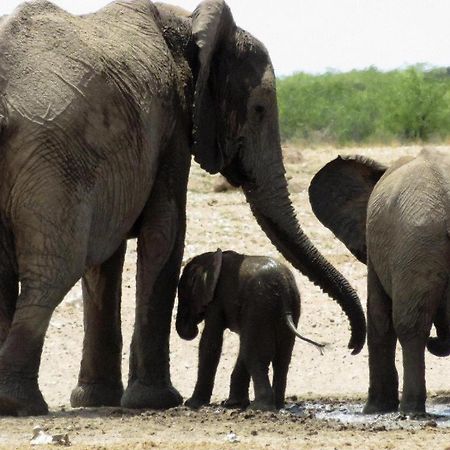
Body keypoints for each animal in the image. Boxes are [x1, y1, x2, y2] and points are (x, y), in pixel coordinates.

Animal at [175, 250, 324, 412]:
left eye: (184, 297)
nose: (192, 328)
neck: (210, 258)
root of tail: (284, 294)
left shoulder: (216, 300)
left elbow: (210, 343)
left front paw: (191, 404)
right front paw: (233, 404)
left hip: (259, 306)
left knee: (253, 353)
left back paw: (258, 407)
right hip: (289, 306)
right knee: (280, 358)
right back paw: (277, 405)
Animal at [308, 149, 450, 414]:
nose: (438, 341)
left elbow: (378, 316)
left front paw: (375, 409)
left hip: (415, 241)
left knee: (410, 325)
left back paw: (411, 410)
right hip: (418, 244)